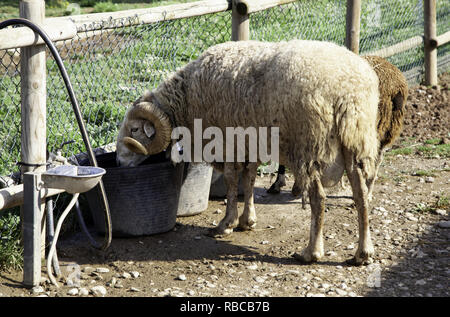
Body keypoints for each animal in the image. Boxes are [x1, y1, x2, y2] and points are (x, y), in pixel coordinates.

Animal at [116, 40, 380, 264]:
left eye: (135, 129)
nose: (118, 162)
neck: (186, 102)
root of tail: (347, 91)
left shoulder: (226, 141)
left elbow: (232, 182)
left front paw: (226, 223)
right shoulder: (249, 142)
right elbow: (249, 178)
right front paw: (247, 220)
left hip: (308, 146)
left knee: (319, 198)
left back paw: (311, 252)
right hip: (356, 142)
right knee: (361, 196)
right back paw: (363, 253)